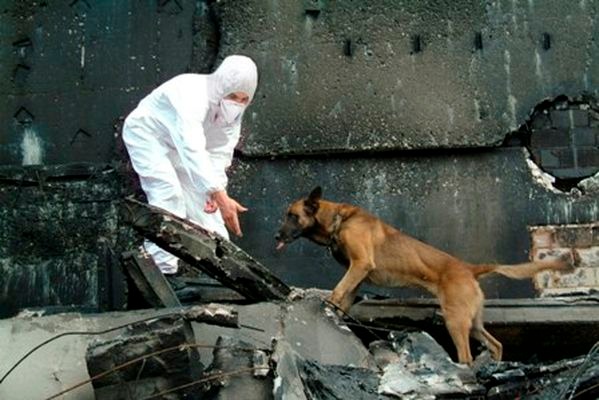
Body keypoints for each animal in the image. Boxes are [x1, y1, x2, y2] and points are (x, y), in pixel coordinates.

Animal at [274, 188, 576, 366]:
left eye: (292, 216)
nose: (276, 236)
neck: (339, 219)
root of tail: (469, 268)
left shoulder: (360, 264)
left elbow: (338, 290)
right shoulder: (358, 275)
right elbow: (344, 298)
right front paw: (335, 317)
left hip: (455, 321)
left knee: (466, 356)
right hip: (473, 323)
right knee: (496, 344)